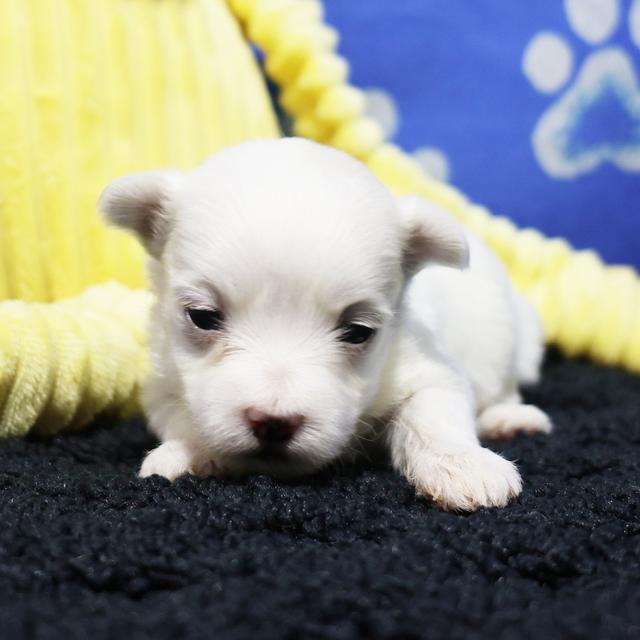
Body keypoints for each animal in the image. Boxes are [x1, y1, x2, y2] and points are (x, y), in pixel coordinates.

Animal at [100, 139, 552, 510]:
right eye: (203, 316)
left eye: (358, 332)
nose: (273, 422)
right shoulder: (164, 382)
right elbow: (179, 415)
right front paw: (185, 453)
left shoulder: (427, 370)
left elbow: (434, 415)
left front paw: (463, 464)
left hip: (512, 341)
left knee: (505, 386)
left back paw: (508, 418)